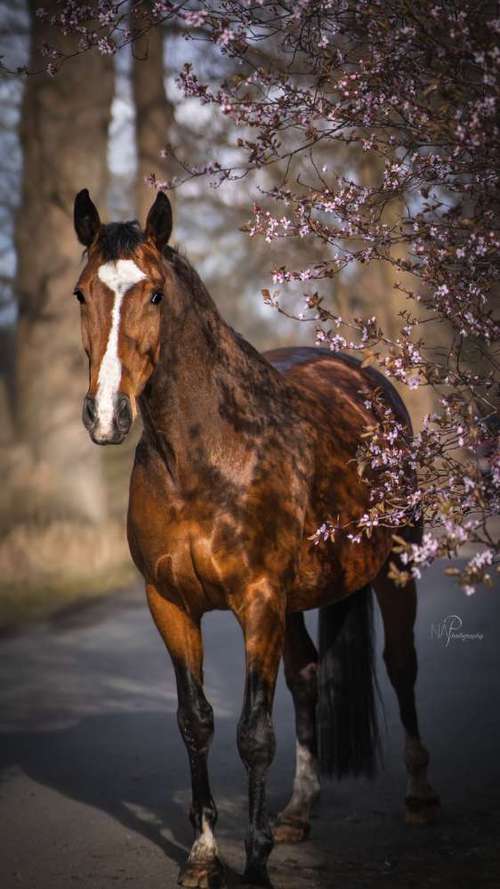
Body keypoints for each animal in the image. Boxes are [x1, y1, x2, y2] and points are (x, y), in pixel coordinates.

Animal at [72, 189, 440, 888]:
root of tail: (367, 381)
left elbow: (254, 735)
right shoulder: (170, 604)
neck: (206, 458)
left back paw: (417, 797)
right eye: (82, 293)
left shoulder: (258, 601)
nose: (108, 415)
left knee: (402, 666)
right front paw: (204, 855)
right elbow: (196, 723)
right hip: (296, 602)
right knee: (307, 677)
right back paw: (297, 811)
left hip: (397, 567)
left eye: (155, 294)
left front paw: (258, 863)